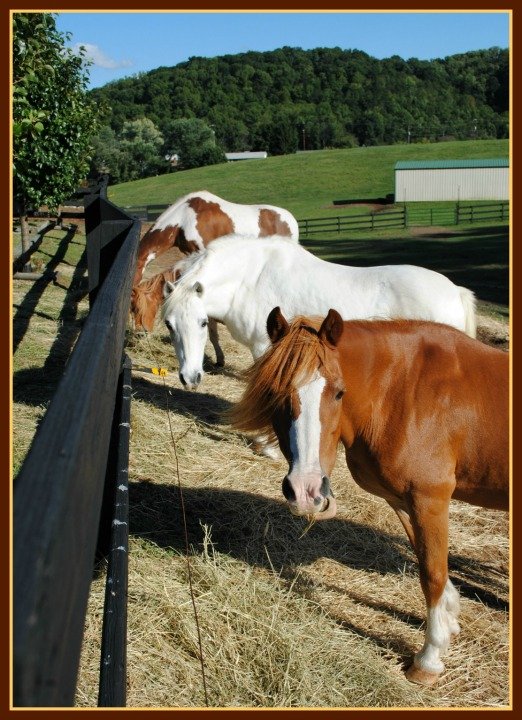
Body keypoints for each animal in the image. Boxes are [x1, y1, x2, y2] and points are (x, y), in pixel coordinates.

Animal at [161, 234, 476, 390]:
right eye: (169, 325)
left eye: (203, 323)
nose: (189, 378)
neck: (250, 277)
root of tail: (455, 291)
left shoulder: (264, 347)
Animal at [229, 307, 509, 686]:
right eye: (275, 393)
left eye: (339, 393)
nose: (305, 490)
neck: (402, 390)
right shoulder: (404, 501)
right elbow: (428, 564)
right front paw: (449, 622)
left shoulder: (430, 499)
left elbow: (433, 573)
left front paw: (429, 657)